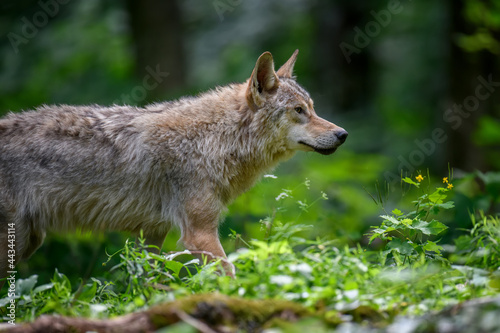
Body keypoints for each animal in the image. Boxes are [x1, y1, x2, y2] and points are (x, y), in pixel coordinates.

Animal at [0, 49, 346, 278]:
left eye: (312, 108)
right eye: (299, 111)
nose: (342, 134)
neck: (216, 139)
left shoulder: (152, 234)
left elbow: (153, 283)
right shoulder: (200, 233)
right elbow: (230, 277)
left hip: (28, 241)